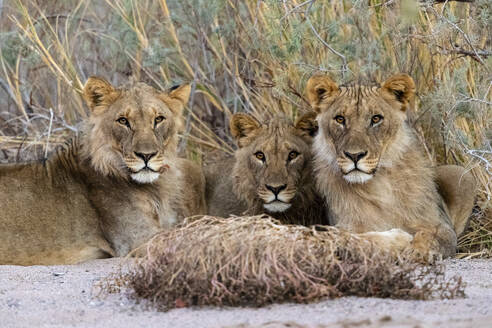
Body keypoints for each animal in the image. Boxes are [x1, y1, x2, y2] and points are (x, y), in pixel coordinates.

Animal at [306, 73, 474, 258]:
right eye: (340, 119)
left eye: (376, 119)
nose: (354, 155)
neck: (378, 183)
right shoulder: (343, 227)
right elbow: (359, 241)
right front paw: (401, 241)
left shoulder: (441, 224)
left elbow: (436, 236)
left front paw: (419, 250)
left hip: (462, 174)